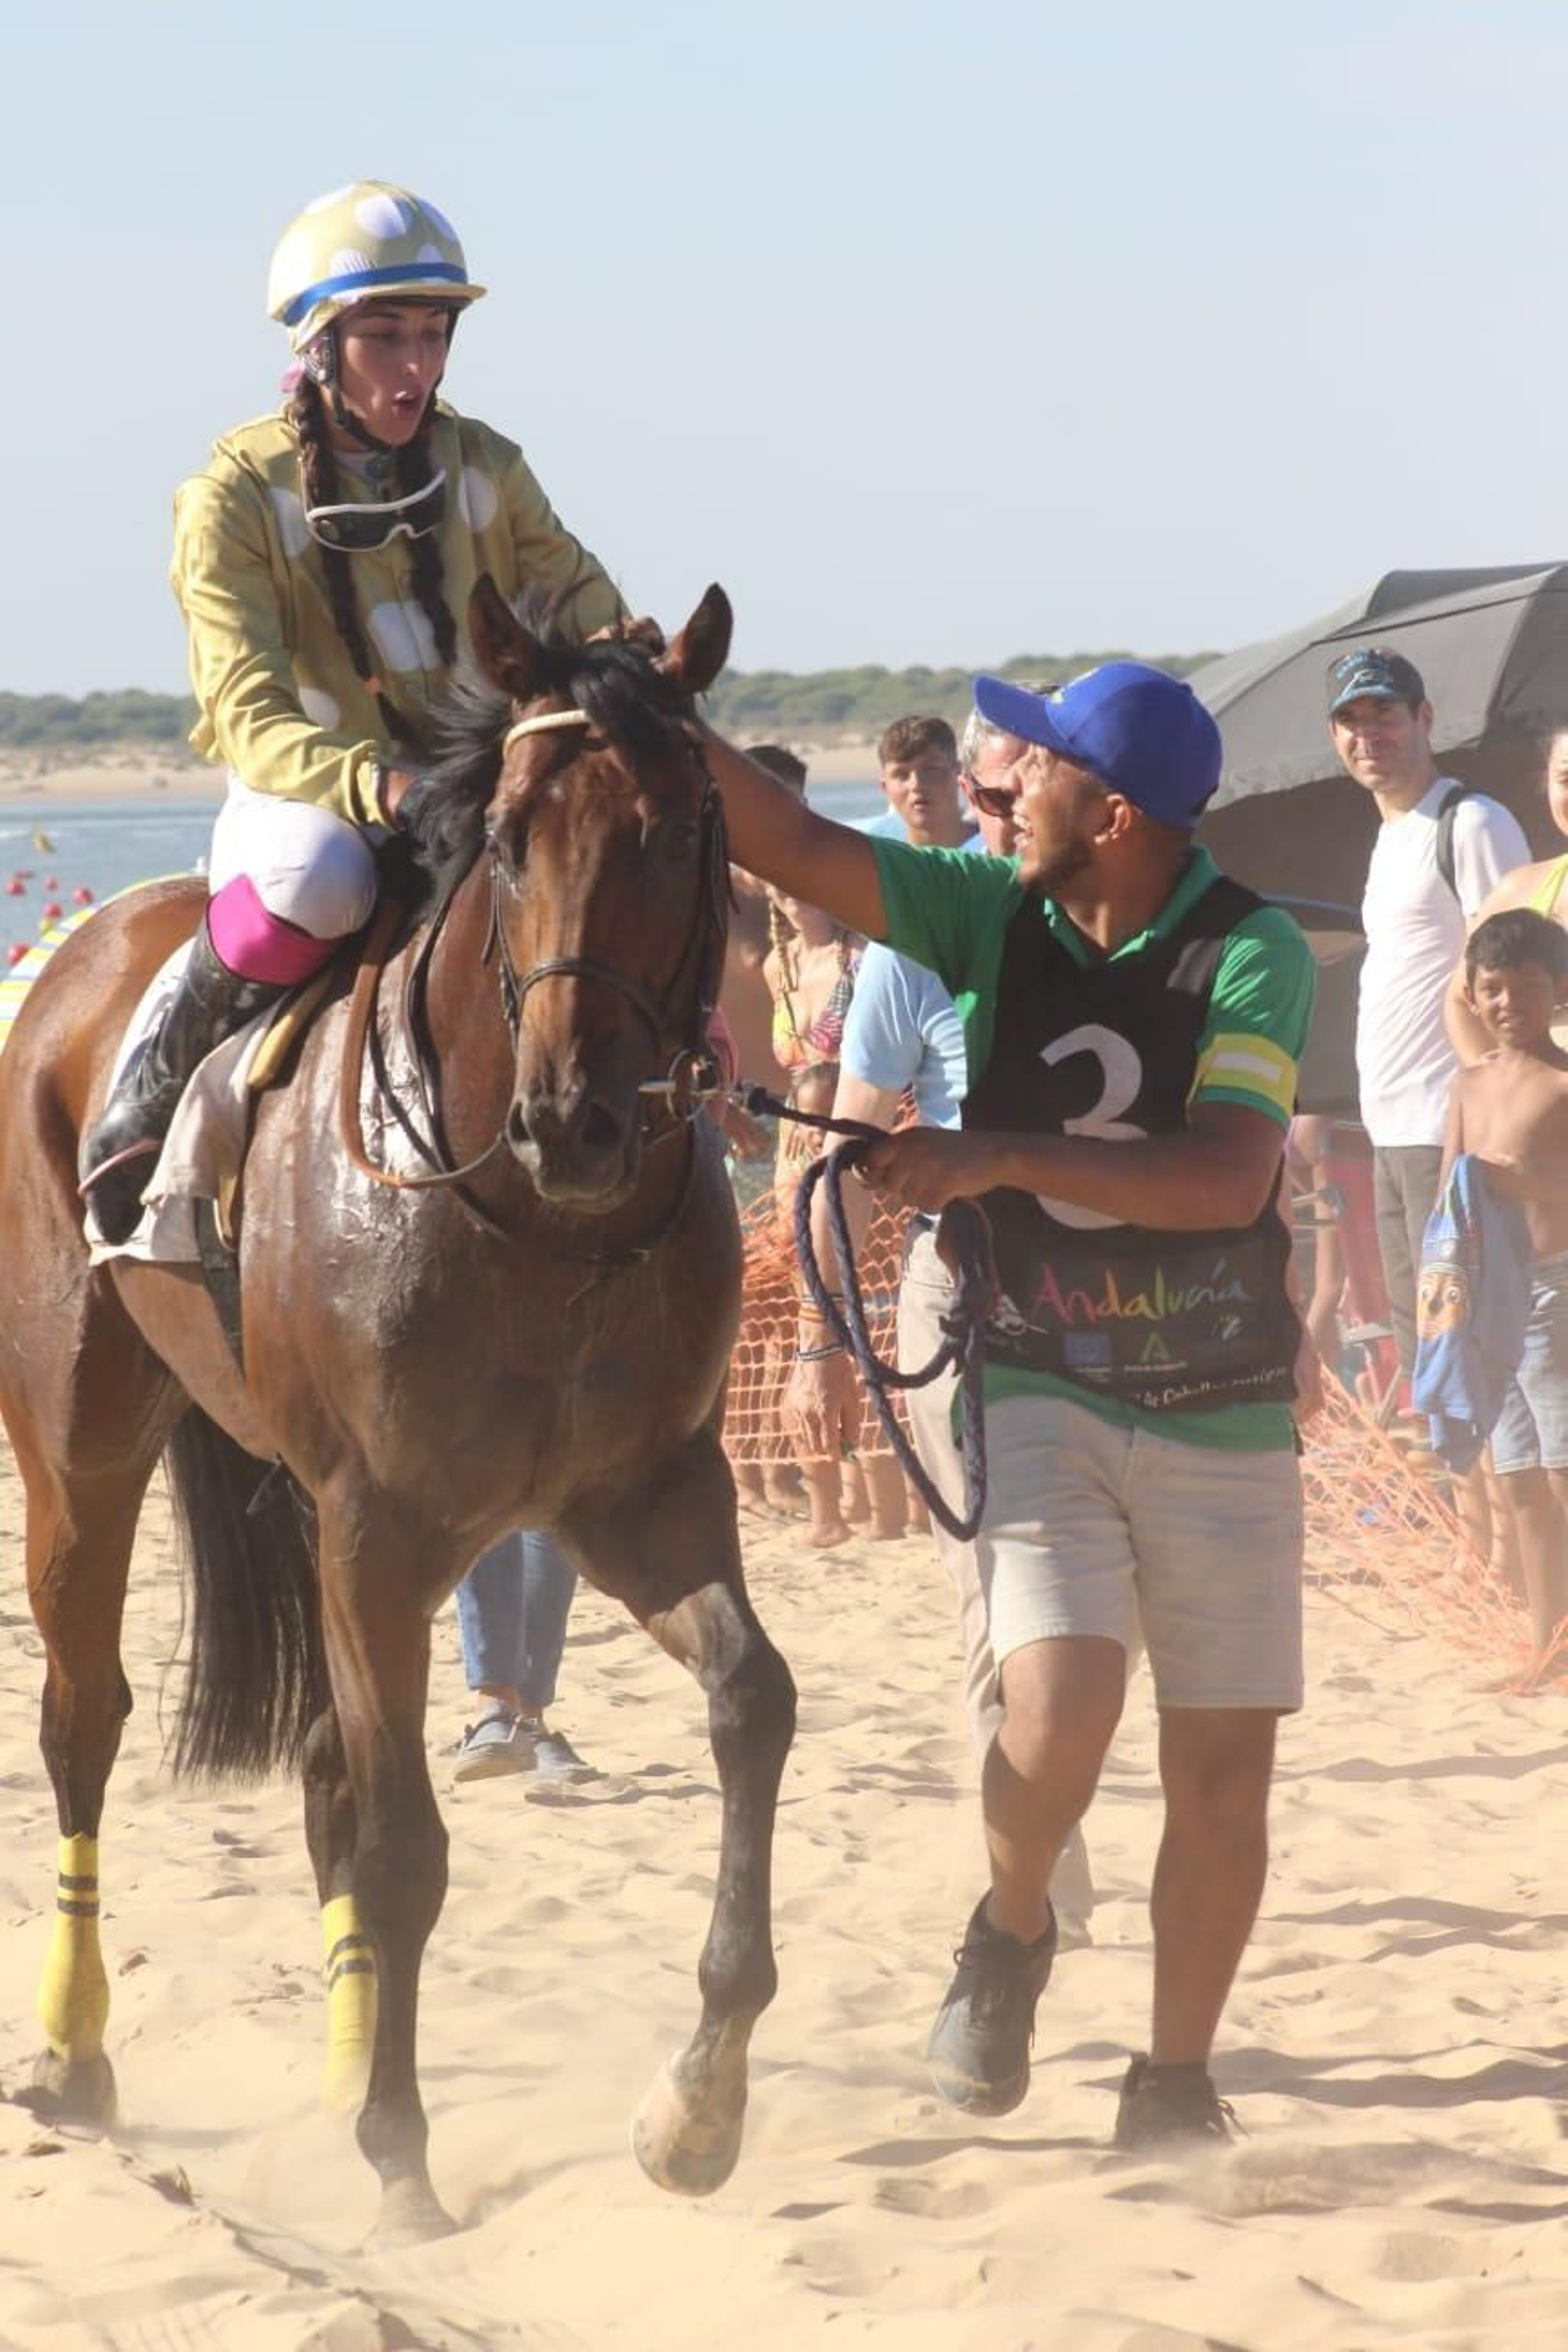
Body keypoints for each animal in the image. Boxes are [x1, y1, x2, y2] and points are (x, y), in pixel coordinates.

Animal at [0, 581, 797, 2243]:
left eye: (678, 830)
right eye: (507, 837)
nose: (576, 1119)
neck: (536, 1224)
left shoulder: (647, 1499)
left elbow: (754, 1703)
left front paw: (697, 2105)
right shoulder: (379, 1529)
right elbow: (405, 1842)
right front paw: (400, 2150)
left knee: (317, 1762)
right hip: (81, 1451)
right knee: (84, 1723)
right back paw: (78, 2054)